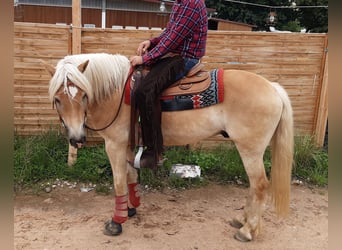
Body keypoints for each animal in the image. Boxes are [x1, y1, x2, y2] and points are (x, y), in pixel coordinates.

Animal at [43, 52, 294, 242]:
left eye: (84, 95)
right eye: (57, 99)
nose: (77, 138)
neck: (116, 93)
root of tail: (272, 87)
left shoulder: (114, 145)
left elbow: (118, 182)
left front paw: (116, 222)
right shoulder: (126, 145)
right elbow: (131, 176)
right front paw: (130, 209)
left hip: (250, 149)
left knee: (259, 184)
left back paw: (247, 230)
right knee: (253, 185)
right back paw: (241, 220)